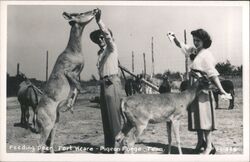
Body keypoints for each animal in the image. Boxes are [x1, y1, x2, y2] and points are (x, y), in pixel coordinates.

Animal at [35, 9, 97, 153]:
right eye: (81, 13)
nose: (95, 10)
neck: (74, 51)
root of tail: (36, 113)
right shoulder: (69, 71)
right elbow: (79, 86)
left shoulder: (78, 74)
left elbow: (76, 88)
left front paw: (70, 105)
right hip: (47, 125)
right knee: (39, 146)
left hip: (55, 122)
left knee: (49, 143)